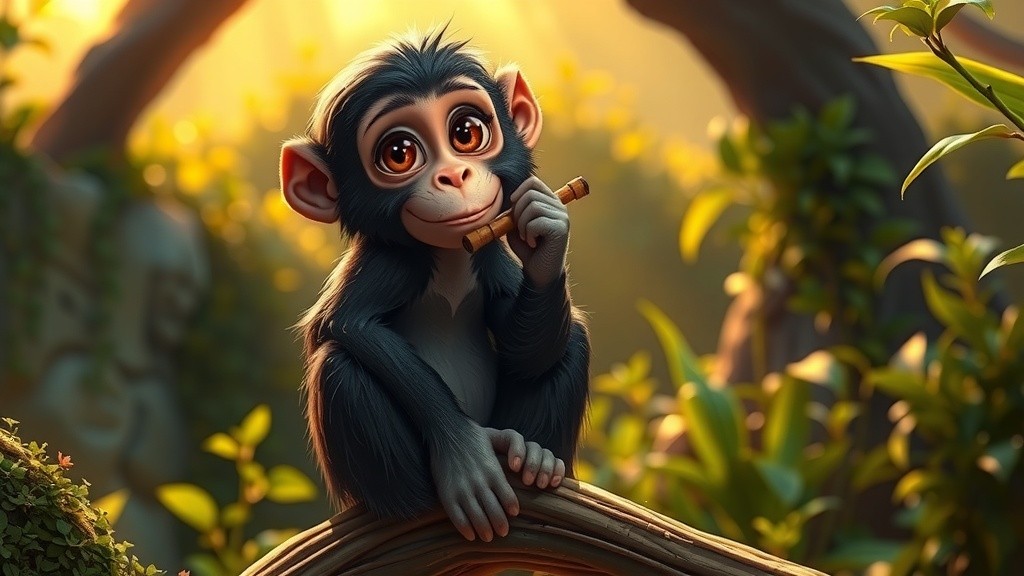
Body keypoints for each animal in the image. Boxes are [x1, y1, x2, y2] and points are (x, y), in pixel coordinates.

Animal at [279, 29, 590, 543]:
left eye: (467, 132)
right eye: (398, 153)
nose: (454, 175)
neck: (452, 254)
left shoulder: (488, 254)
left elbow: (523, 347)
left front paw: (546, 229)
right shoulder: (391, 263)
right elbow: (351, 326)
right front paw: (466, 456)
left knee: (573, 339)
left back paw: (537, 457)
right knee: (339, 368)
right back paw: (412, 500)